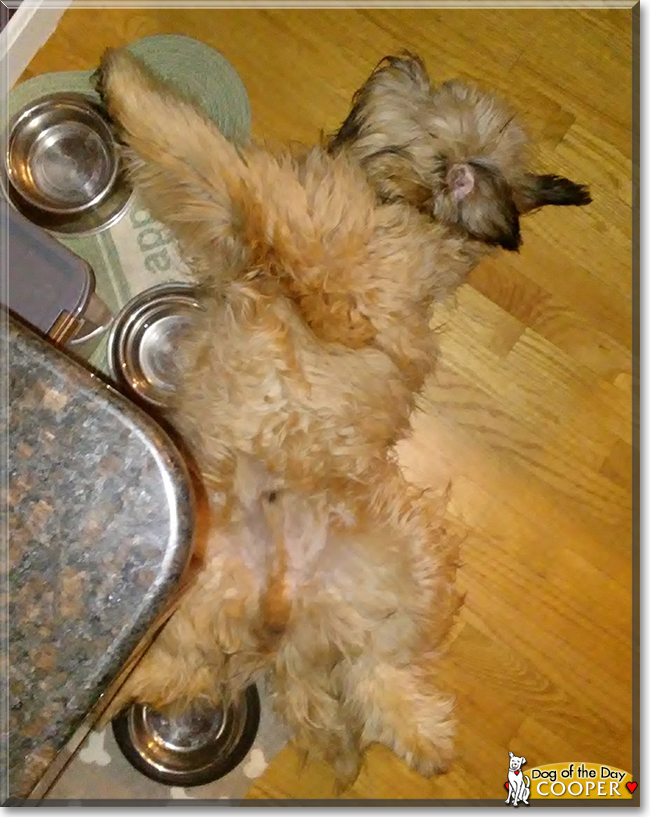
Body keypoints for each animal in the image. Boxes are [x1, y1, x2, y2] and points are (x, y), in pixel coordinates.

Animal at [96, 46, 588, 784]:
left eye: (434, 111)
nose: (403, 62)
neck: (408, 210)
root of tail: (283, 608)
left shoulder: (302, 253)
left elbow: (218, 165)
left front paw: (125, 85)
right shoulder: (239, 234)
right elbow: (196, 165)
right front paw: (129, 93)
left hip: (410, 551)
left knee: (377, 667)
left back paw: (423, 734)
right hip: (188, 616)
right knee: (198, 674)